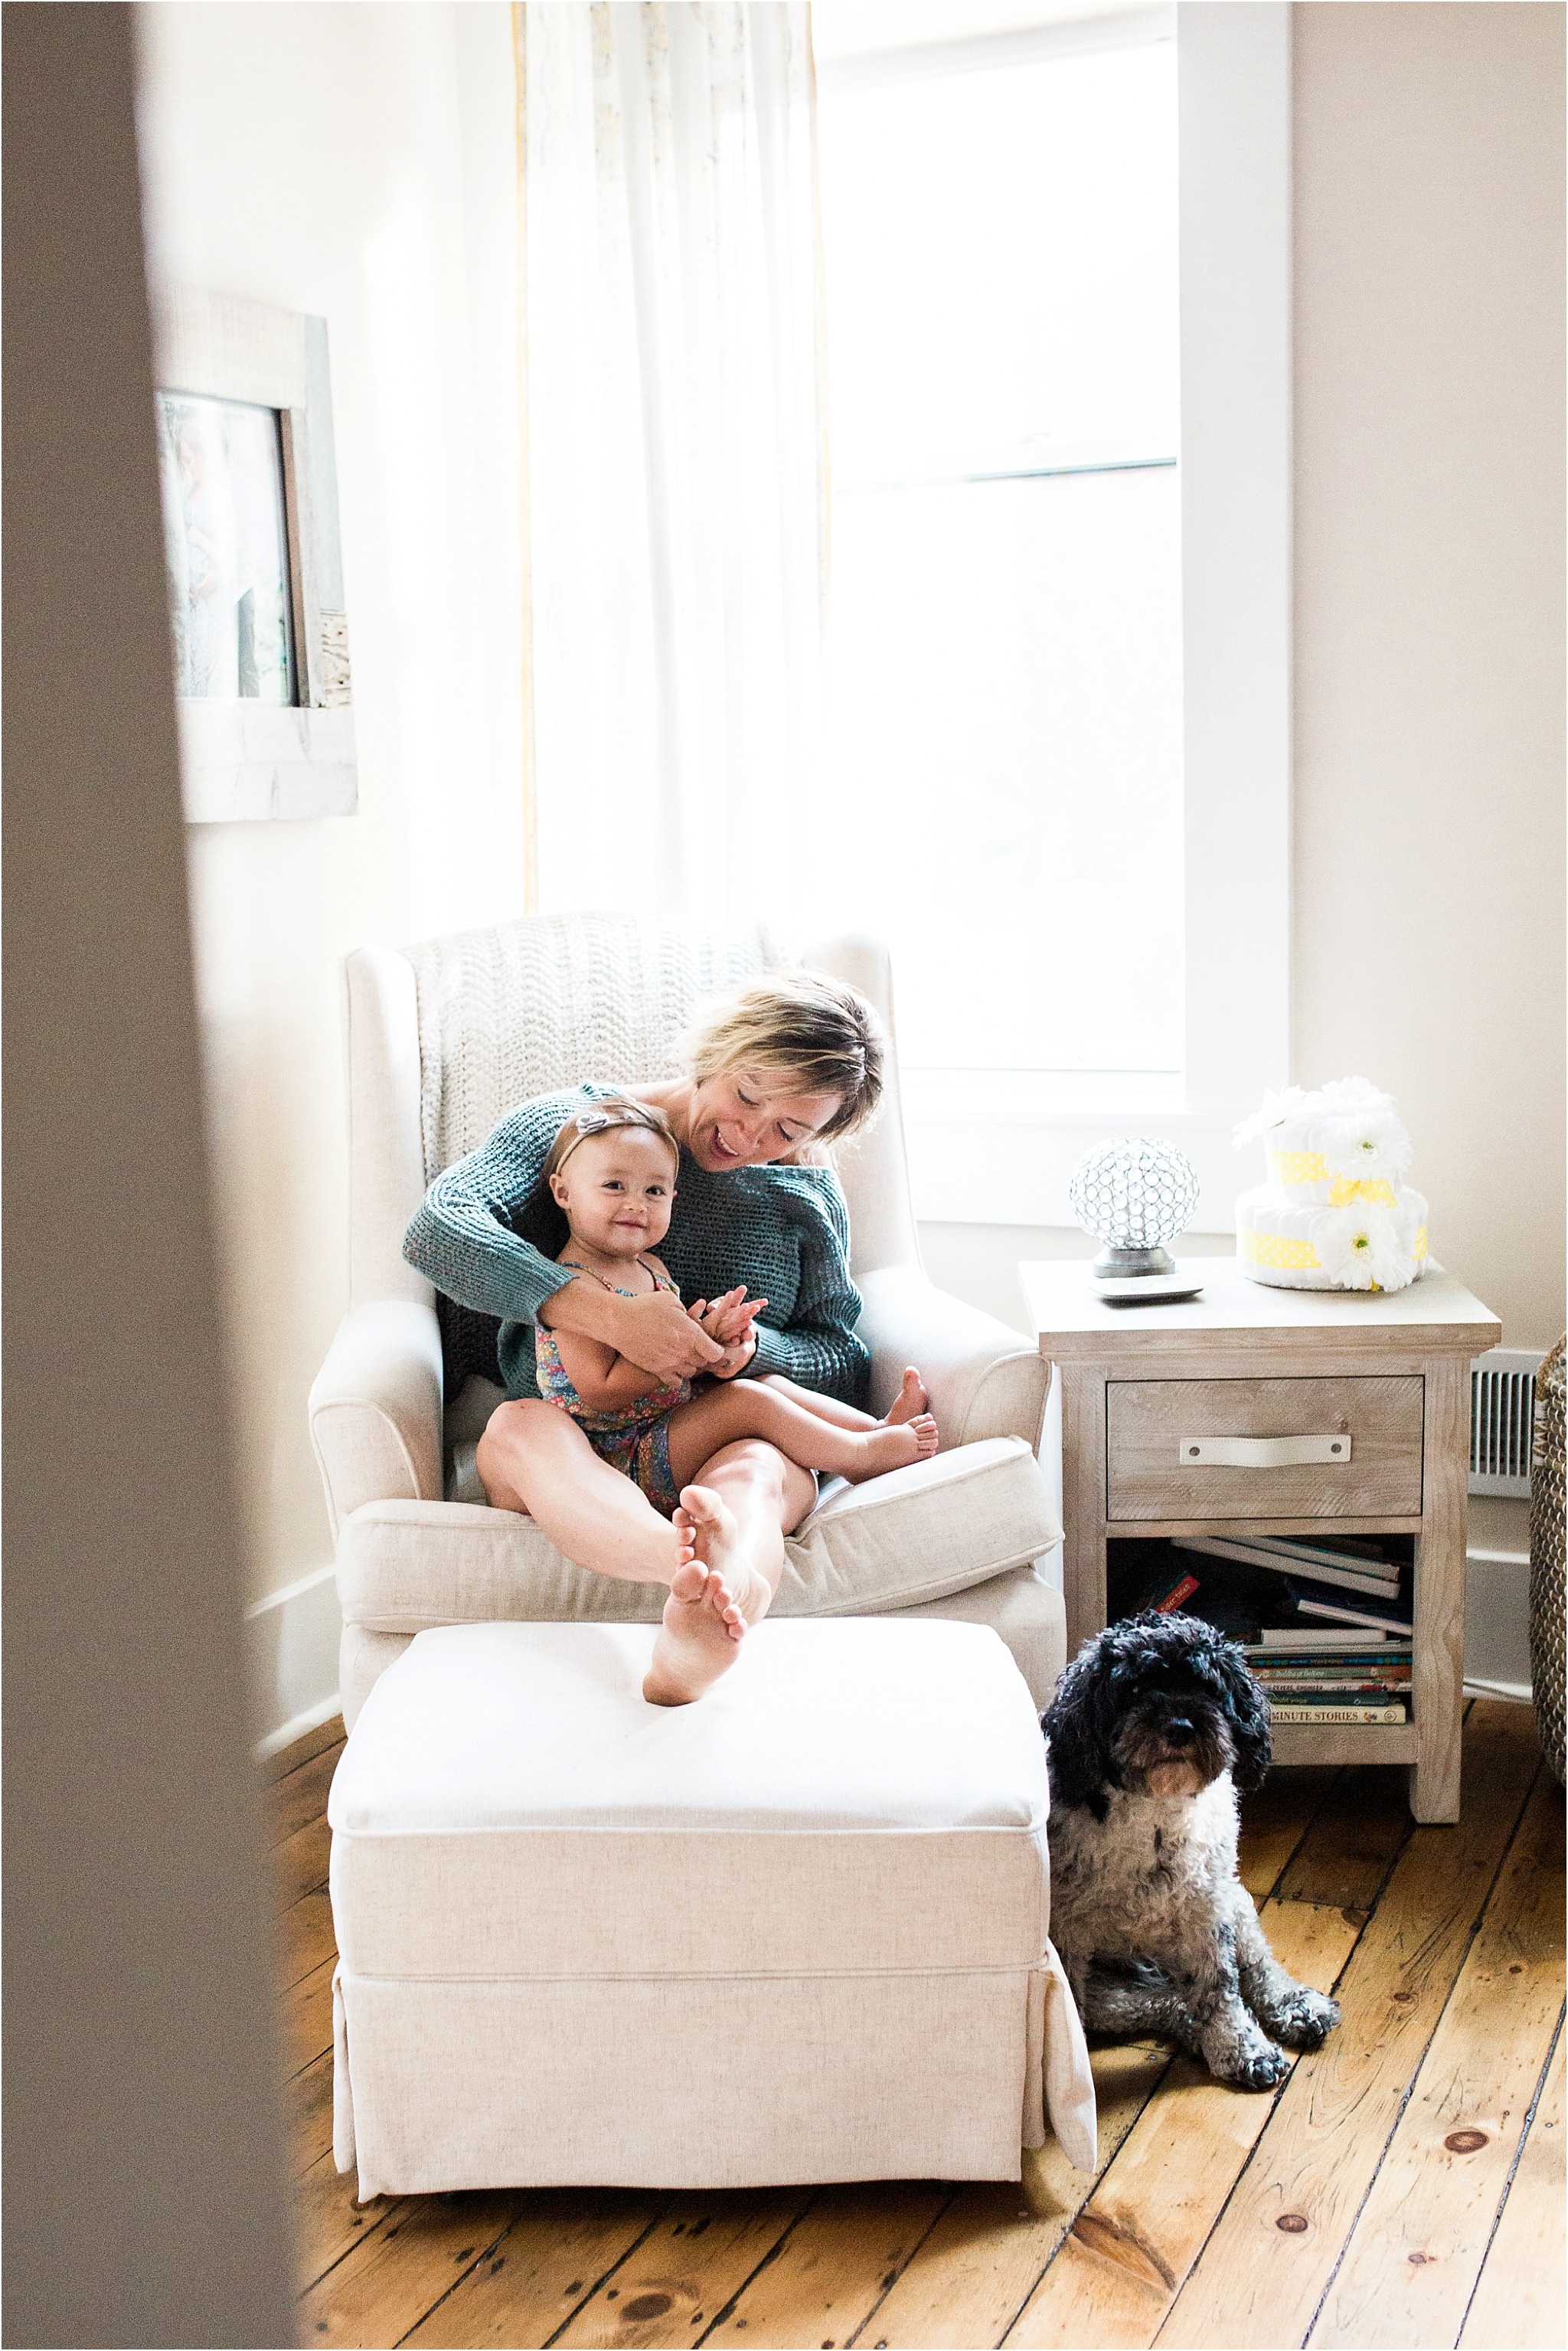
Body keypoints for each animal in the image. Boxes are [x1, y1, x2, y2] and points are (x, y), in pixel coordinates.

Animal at [1048, 1607, 1344, 2088]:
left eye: (1206, 1686)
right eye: (1133, 1689)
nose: (1180, 1727)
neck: (1158, 1817)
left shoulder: (1207, 1911)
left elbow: (1221, 1987)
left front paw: (1244, 2050)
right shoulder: (1067, 1931)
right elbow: (1073, 2008)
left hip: (1236, 1900)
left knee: (1257, 1968)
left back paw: (1296, 2007)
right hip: (1111, 1988)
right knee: (1159, 2000)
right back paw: (1192, 2029)